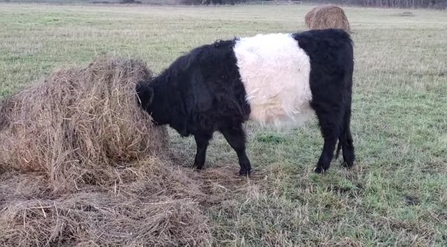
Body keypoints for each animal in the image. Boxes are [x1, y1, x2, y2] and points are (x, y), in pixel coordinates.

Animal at [137, 28, 356, 176]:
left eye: (144, 103)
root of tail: (339, 34)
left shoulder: (227, 118)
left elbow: (237, 144)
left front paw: (245, 170)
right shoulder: (203, 121)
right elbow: (202, 143)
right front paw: (197, 165)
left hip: (328, 105)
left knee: (331, 135)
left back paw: (321, 167)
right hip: (343, 104)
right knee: (345, 131)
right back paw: (348, 162)